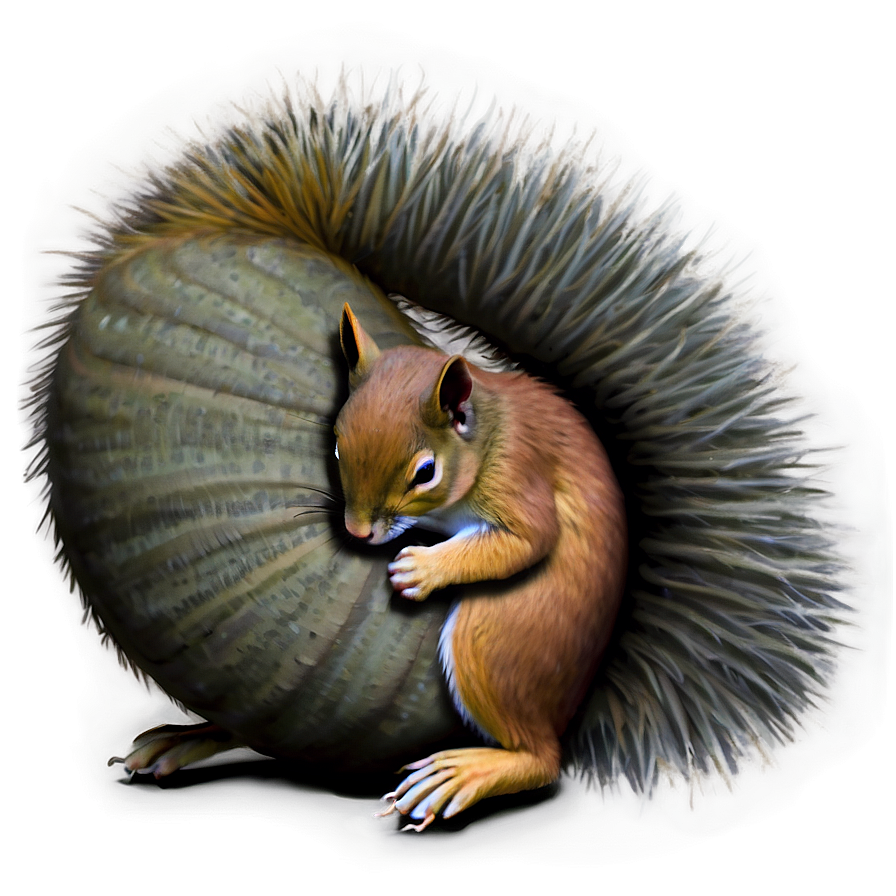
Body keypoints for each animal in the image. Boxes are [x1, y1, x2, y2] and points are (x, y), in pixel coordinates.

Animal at [334, 304, 627, 830]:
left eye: (425, 472)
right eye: (336, 446)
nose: (359, 533)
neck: (486, 436)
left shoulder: (517, 474)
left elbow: (527, 541)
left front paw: (420, 570)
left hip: (491, 638)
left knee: (540, 759)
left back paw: (460, 775)